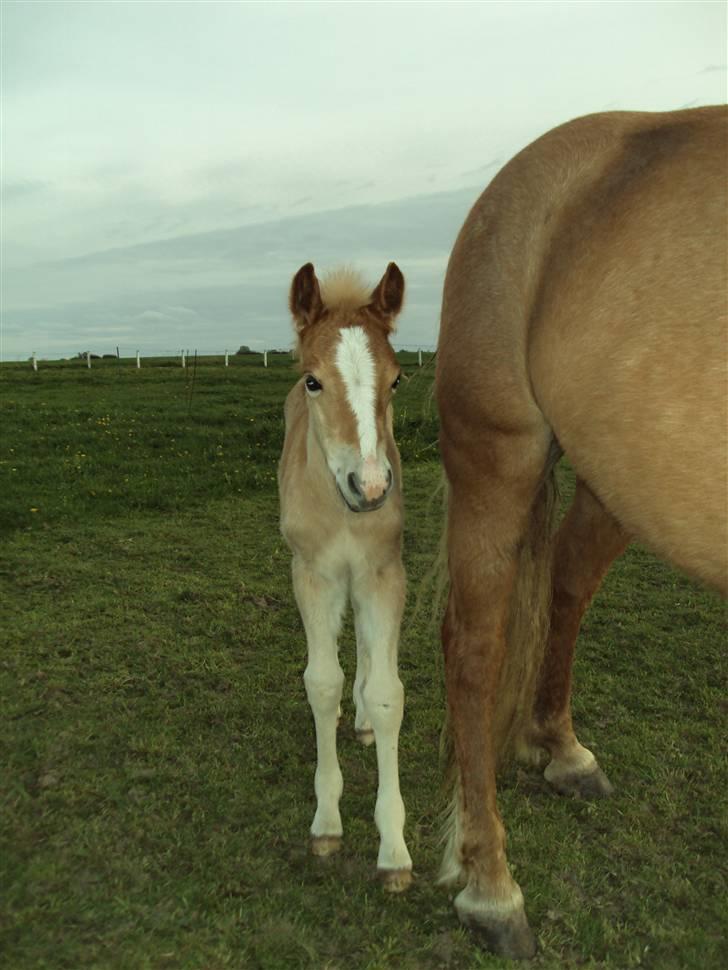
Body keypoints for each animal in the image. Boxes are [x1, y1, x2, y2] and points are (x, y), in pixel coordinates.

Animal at [436, 104, 724, 952]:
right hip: (499, 455)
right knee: (473, 649)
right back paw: (492, 888)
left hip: (620, 478)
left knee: (565, 582)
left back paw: (563, 751)